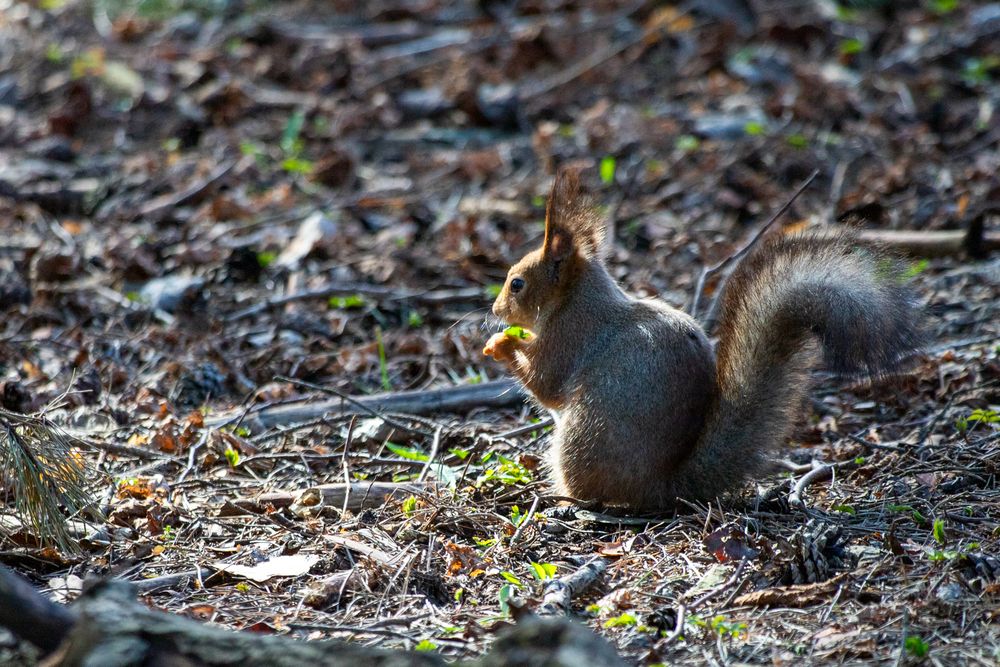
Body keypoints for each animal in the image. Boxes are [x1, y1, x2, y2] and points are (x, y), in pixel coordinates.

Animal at [483, 167, 922, 509]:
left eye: (517, 283)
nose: (495, 310)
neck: (575, 299)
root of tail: (664, 487)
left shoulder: (569, 336)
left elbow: (546, 384)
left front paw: (501, 345)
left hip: (578, 441)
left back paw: (569, 501)